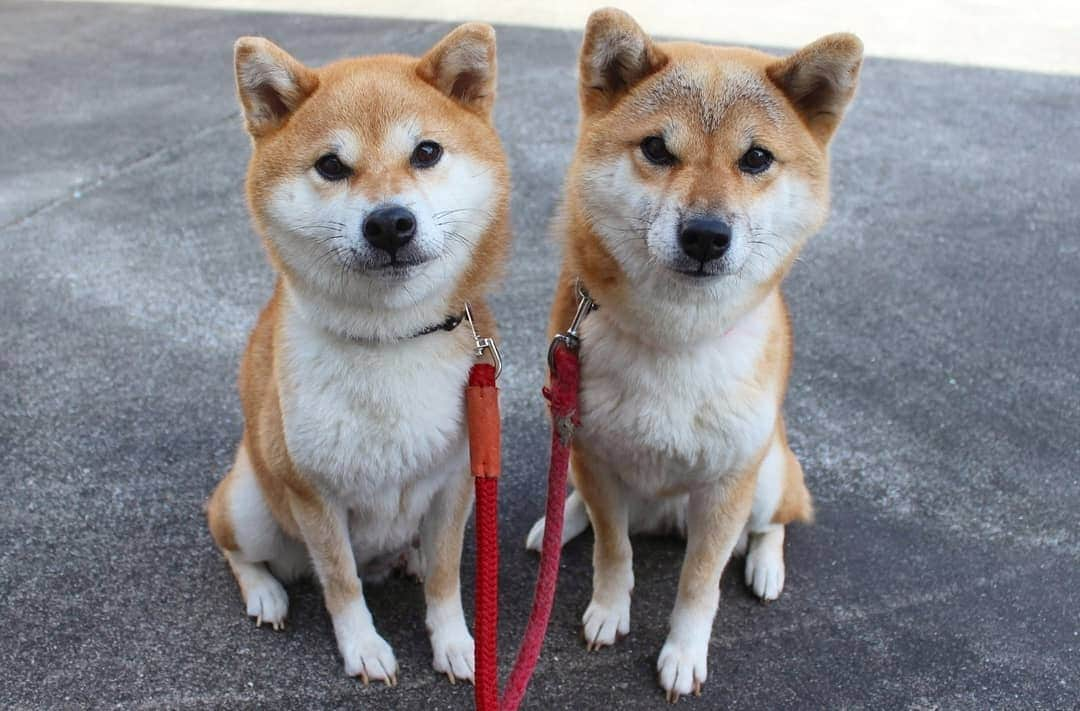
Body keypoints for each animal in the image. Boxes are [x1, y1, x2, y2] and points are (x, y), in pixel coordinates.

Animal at [206, 24, 509, 682]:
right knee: (234, 546)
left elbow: (447, 577)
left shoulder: (456, 482)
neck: (389, 341)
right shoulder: (314, 495)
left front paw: (455, 643)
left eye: (426, 152)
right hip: (251, 505)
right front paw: (364, 648)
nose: (390, 223)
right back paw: (266, 593)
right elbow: (341, 583)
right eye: (330, 165)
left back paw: (408, 558)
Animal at [527, 8, 864, 700]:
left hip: (767, 473)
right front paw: (608, 610)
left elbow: (698, 584)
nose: (707, 236)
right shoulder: (595, 457)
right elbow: (612, 551)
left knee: (774, 522)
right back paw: (555, 524)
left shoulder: (726, 489)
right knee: (585, 508)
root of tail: (664, 518)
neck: (675, 337)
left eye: (756, 158)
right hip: (576, 454)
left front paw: (683, 653)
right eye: (657, 148)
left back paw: (765, 566)